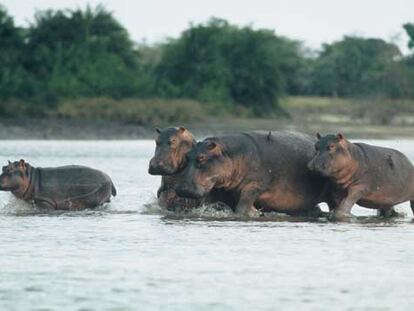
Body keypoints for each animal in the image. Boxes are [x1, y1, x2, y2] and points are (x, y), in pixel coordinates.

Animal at [173, 131, 332, 217]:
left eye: (202, 158)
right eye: (187, 156)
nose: (181, 188)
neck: (230, 154)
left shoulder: (255, 185)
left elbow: (243, 206)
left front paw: (254, 213)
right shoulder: (219, 187)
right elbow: (211, 204)